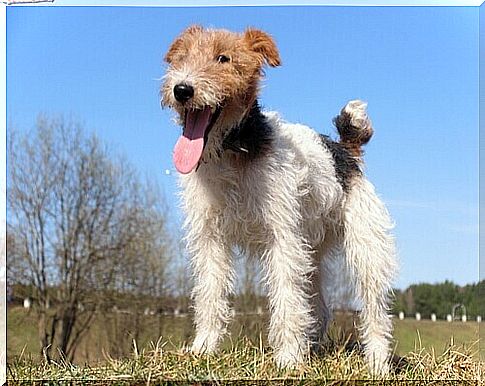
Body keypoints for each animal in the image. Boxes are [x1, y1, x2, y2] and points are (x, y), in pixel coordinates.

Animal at [161, 25, 396, 376]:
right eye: (182, 57)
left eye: (223, 58)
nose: (182, 89)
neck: (233, 150)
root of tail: (345, 150)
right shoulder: (210, 238)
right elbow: (210, 295)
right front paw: (202, 348)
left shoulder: (282, 237)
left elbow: (286, 299)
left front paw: (287, 359)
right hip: (312, 252)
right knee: (319, 309)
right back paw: (312, 348)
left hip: (365, 248)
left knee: (374, 310)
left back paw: (377, 362)